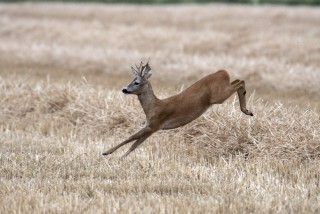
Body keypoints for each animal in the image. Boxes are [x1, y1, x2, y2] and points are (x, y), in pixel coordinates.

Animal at [102, 60, 252, 157]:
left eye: (137, 82)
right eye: (131, 80)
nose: (124, 89)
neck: (152, 107)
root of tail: (223, 71)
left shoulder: (154, 124)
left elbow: (130, 138)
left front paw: (107, 152)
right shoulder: (152, 128)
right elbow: (134, 145)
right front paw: (120, 157)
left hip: (218, 96)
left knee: (241, 82)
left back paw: (247, 110)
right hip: (221, 91)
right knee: (238, 80)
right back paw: (248, 111)